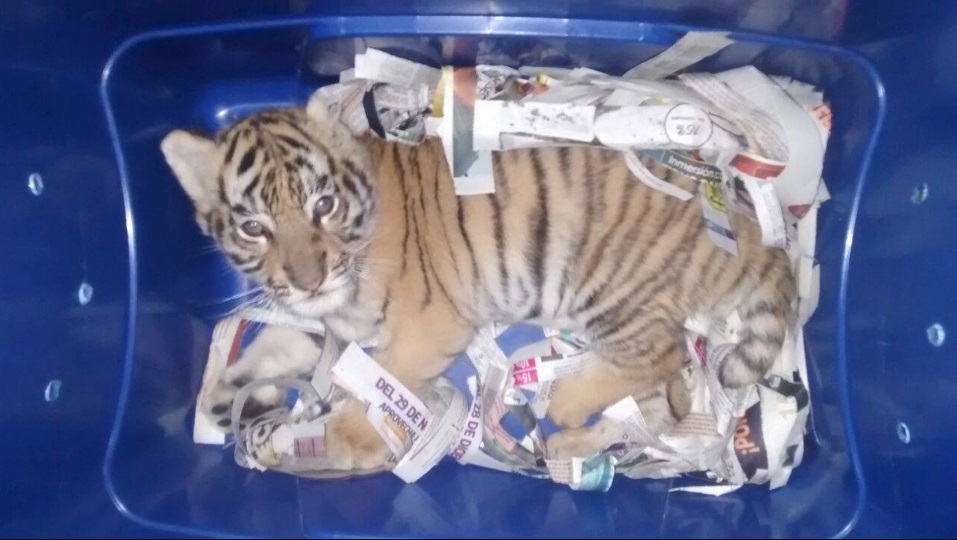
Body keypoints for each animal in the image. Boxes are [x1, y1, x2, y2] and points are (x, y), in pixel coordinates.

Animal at [160, 89, 795, 470]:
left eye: (323, 205)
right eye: (253, 227)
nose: (310, 280)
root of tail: (746, 226)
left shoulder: (427, 324)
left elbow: (383, 383)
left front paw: (343, 438)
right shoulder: (331, 324)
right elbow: (273, 344)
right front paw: (225, 398)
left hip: (611, 288)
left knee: (660, 355)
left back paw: (566, 406)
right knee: (665, 408)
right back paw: (572, 446)